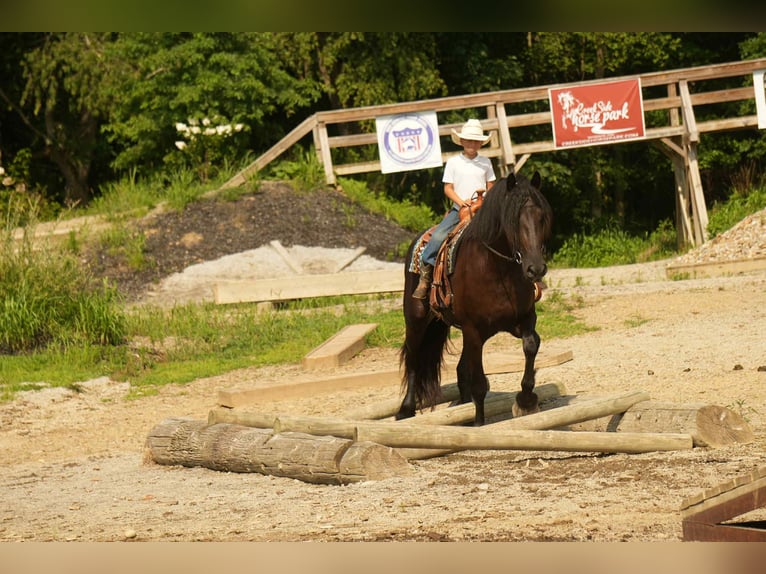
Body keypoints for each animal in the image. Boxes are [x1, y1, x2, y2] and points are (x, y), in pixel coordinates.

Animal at [397, 171, 553, 426]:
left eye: (541, 218)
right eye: (513, 220)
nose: (535, 269)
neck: (497, 269)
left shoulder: (524, 319)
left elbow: (531, 344)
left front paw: (526, 400)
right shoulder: (473, 329)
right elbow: (479, 382)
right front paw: (479, 422)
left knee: (461, 368)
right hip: (416, 321)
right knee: (414, 359)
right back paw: (406, 409)